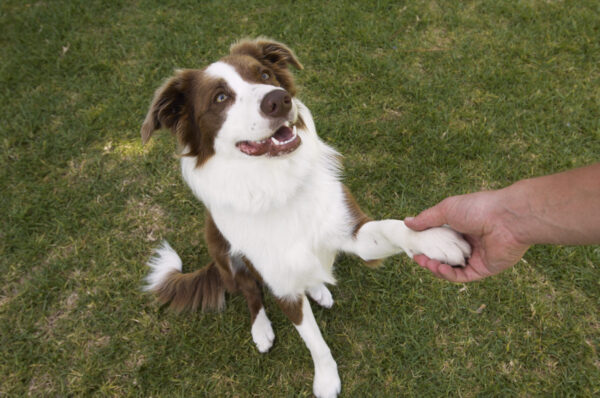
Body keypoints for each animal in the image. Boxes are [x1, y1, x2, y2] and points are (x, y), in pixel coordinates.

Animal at [141, 38, 468, 398]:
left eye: (265, 74)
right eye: (220, 98)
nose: (278, 99)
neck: (276, 185)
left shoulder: (351, 229)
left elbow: (391, 226)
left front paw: (434, 238)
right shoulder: (282, 286)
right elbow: (314, 340)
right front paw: (325, 380)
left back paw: (318, 288)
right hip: (221, 250)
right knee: (250, 292)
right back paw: (261, 329)